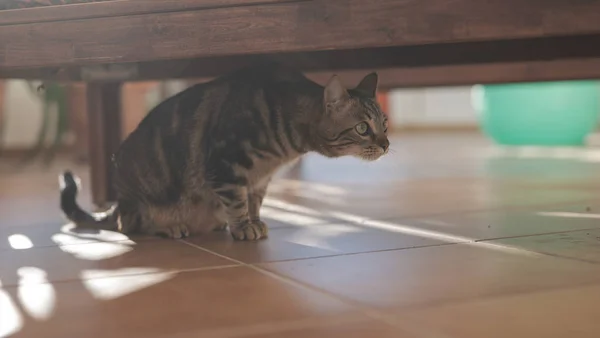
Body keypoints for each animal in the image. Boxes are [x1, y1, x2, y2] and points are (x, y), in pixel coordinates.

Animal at [59, 62, 390, 240]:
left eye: (384, 124)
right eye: (363, 128)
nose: (386, 144)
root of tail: (119, 201)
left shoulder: (259, 179)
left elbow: (254, 202)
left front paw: (254, 222)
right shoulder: (226, 164)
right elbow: (236, 200)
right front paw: (243, 227)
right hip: (141, 199)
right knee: (129, 225)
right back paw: (169, 227)